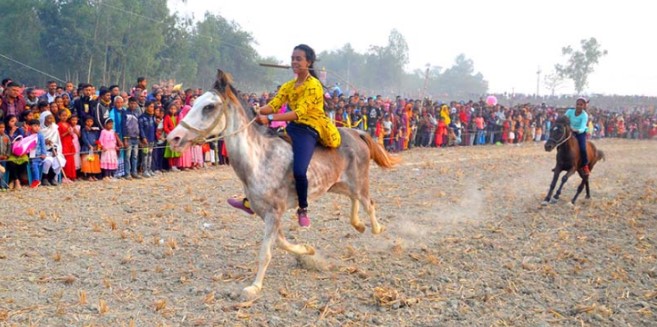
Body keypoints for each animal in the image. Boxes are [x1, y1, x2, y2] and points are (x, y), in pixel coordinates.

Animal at [167, 70, 398, 300]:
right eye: (195, 102)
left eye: (209, 107)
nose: (174, 137)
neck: (259, 159)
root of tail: (357, 133)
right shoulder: (265, 213)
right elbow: (280, 241)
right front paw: (308, 250)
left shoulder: (274, 212)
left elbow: (266, 252)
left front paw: (254, 287)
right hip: (338, 184)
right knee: (354, 199)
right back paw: (358, 225)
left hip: (358, 181)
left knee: (369, 203)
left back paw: (378, 229)